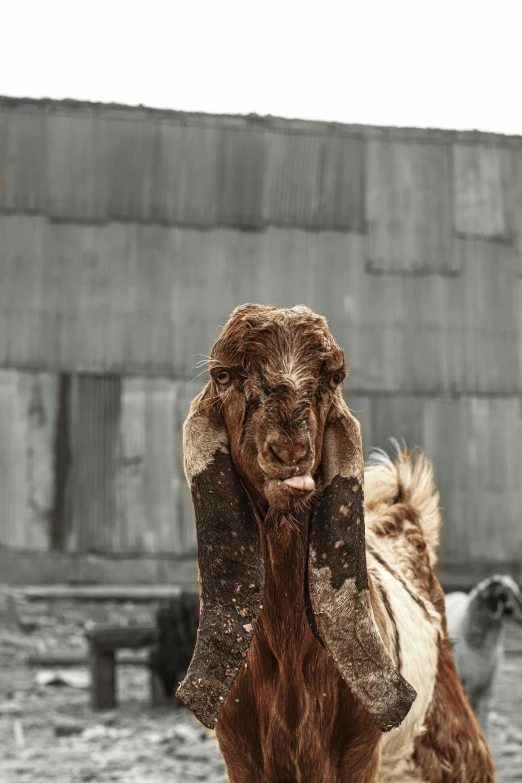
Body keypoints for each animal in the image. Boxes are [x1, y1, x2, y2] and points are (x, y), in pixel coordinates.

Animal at [176, 304, 496, 783]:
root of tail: (403, 518)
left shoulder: (358, 754)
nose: (290, 449)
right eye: (224, 374)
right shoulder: (241, 754)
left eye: (333, 378)